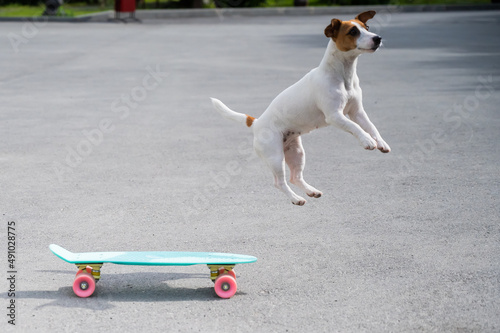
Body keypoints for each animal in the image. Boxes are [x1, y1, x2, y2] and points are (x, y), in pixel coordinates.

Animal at [211, 11, 390, 205]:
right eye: (353, 32)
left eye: (367, 28)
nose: (378, 38)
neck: (343, 75)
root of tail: (256, 123)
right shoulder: (334, 115)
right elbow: (355, 127)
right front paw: (367, 141)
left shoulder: (357, 112)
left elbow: (370, 126)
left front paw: (381, 143)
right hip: (275, 157)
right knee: (279, 182)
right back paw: (296, 199)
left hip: (296, 153)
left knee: (295, 177)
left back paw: (311, 191)